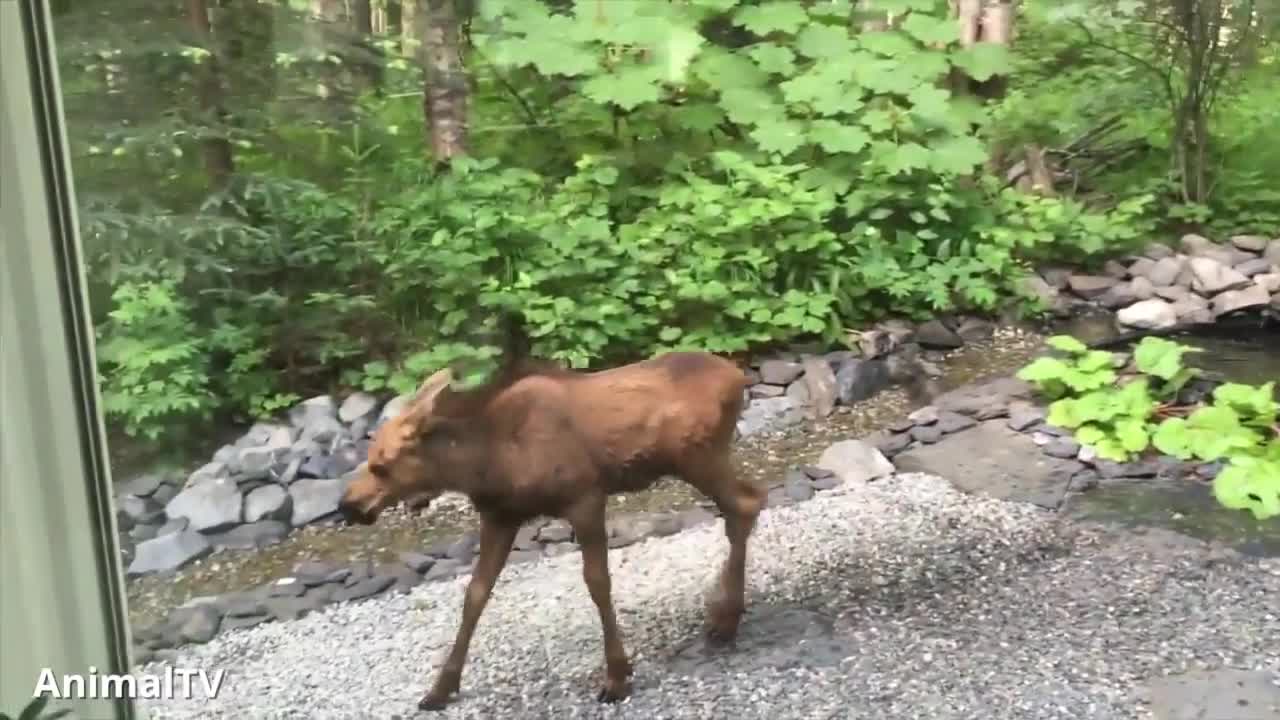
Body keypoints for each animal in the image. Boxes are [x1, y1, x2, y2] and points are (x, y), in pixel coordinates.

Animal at [335, 351, 762, 707]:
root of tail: (739, 377)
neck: (489, 464)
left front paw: (616, 676)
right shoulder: (500, 517)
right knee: (746, 504)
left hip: (696, 457)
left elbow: (597, 583)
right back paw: (723, 612)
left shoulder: (585, 498)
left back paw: (726, 619)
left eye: (382, 465)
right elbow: (475, 594)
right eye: (369, 457)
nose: (347, 505)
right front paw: (441, 688)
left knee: (745, 504)